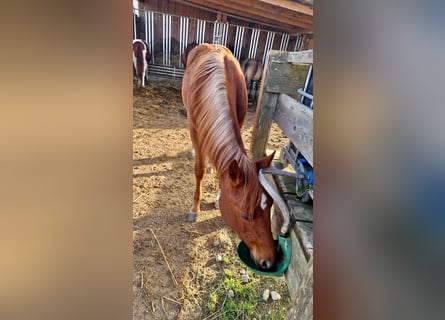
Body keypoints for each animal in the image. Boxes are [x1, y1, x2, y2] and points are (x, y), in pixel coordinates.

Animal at [182, 43, 276, 270]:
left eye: (269, 206)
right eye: (245, 215)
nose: (269, 261)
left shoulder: (238, 121)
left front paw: (217, 197)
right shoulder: (195, 129)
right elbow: (199, 169)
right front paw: (195, 208)